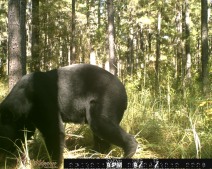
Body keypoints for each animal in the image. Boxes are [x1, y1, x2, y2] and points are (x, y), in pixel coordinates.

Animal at [0, 63, 137, 166]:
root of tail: (124, 89)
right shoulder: (28, 117)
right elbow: (25, 132)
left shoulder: (45, 102)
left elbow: (54, 131)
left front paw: (52, 161)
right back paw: (96, 153)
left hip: (106, 99)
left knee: (101, 125)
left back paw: (127, 153)